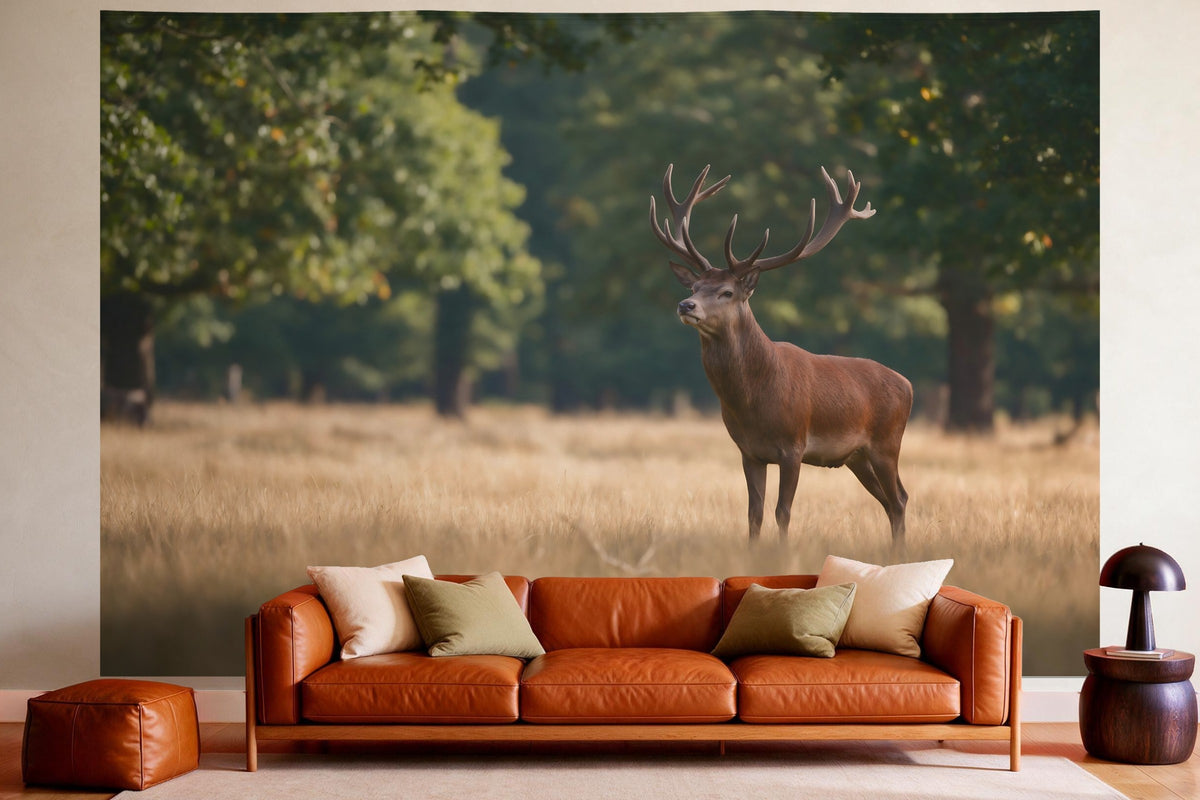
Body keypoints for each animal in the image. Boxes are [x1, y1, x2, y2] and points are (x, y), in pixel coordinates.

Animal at [650, 164, 912, 546]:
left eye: (727, 291)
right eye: (696, 286)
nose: (686, 305)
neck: (753, 402)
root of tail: (908, 385)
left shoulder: (793, 446)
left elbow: (783, 511)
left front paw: (783, 553)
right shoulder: (749, 452)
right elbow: (754, 513)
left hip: (887, 443)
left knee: (899, 498)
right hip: (857, 457)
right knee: (894, 502)